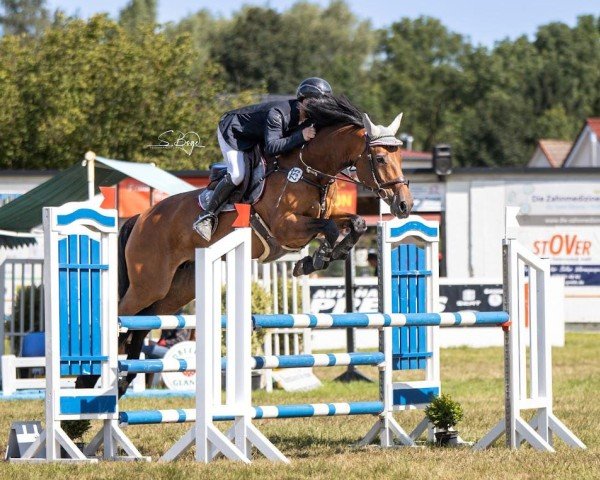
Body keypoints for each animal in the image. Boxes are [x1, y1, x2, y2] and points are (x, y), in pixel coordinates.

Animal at [76, 94, 412, 394]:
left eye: (400, 157)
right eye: (380, 158)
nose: (404, 205)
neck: (308, 170)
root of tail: (140, 218)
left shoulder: (323, 218)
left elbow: (355, 223)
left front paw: (322, 256)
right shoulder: (287, 227)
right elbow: (328, 228)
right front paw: (317, 258)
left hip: (175, 290)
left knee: (141, 323)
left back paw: (122, 381)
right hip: (149, 282)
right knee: (121, 316)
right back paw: (88, 379)